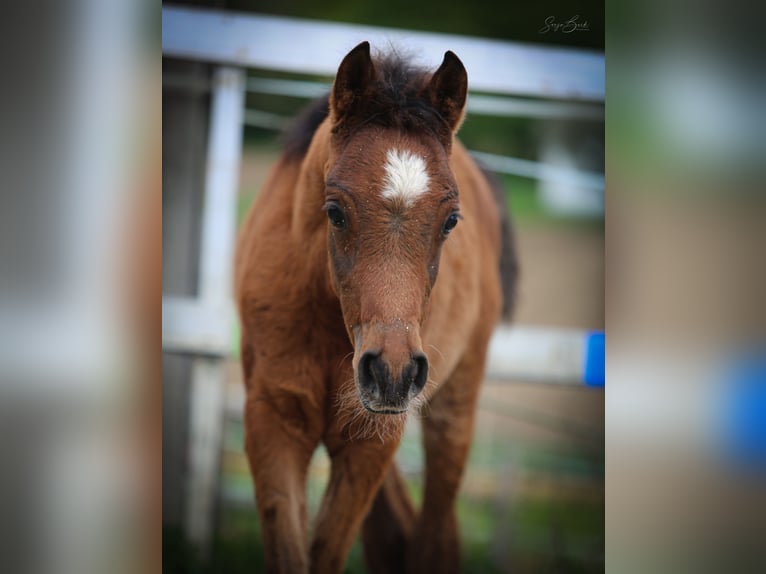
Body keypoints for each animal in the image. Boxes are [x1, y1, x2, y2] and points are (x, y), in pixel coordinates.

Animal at [235, 41, 516, 574]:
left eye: (451, 220)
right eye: (334, 211)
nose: (392, 370)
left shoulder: (373, 439)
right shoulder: (274, 420)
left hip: (452, 407)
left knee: (434, 535)